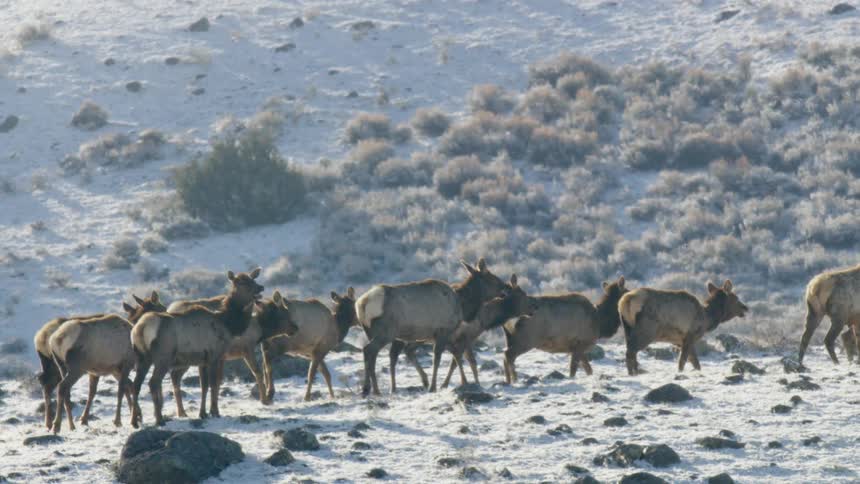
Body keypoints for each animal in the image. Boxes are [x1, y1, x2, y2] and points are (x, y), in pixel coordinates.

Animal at [47, 292, 165, 433]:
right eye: (162, 308)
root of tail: (57, 340)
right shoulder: (126, 363)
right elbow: (122, 389)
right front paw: (120, 420)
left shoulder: (106, 370)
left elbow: (98, 392)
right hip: (77, 368)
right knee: (62, 387)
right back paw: (56, 425)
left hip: (61, 366)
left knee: (66, 392)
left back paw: (71, 425)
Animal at [130, 269, 263, 427]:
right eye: (240, 282)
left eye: (253, 279)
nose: (260, 288)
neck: (228, 325)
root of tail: (140, 328)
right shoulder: (215, 356)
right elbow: (214, 384)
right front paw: (215, 412)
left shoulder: (202, 360)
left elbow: (204, 386)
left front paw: (203, 413)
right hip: (163, 357)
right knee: (153, 383)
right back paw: (159, 419)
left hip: (142, 357)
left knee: (136, 384)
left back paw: (134, 421)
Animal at [356, 258, 508, 396]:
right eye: (492, 278)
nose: (506, 288)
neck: (462, 306)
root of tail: (362, 304)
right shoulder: (443, 332)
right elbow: (439, 358)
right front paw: (433, 387)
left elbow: (452, 357)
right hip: (386, 332)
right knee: (369, 350)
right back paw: (372, 389)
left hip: (371, 332)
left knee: (371, 354)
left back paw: (370, 389)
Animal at [620, 279, 748, 376]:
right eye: (735, 298)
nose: (745, 307)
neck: (707, 319)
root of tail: (625, 301)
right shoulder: (690, 335)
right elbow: (683, 361)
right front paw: (680, 373)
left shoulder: (679, 340)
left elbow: (695, 362)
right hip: (647, 330)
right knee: (631, 352)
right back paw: (632, 374)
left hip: (627, 328)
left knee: (631, 352)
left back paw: (635, 372)